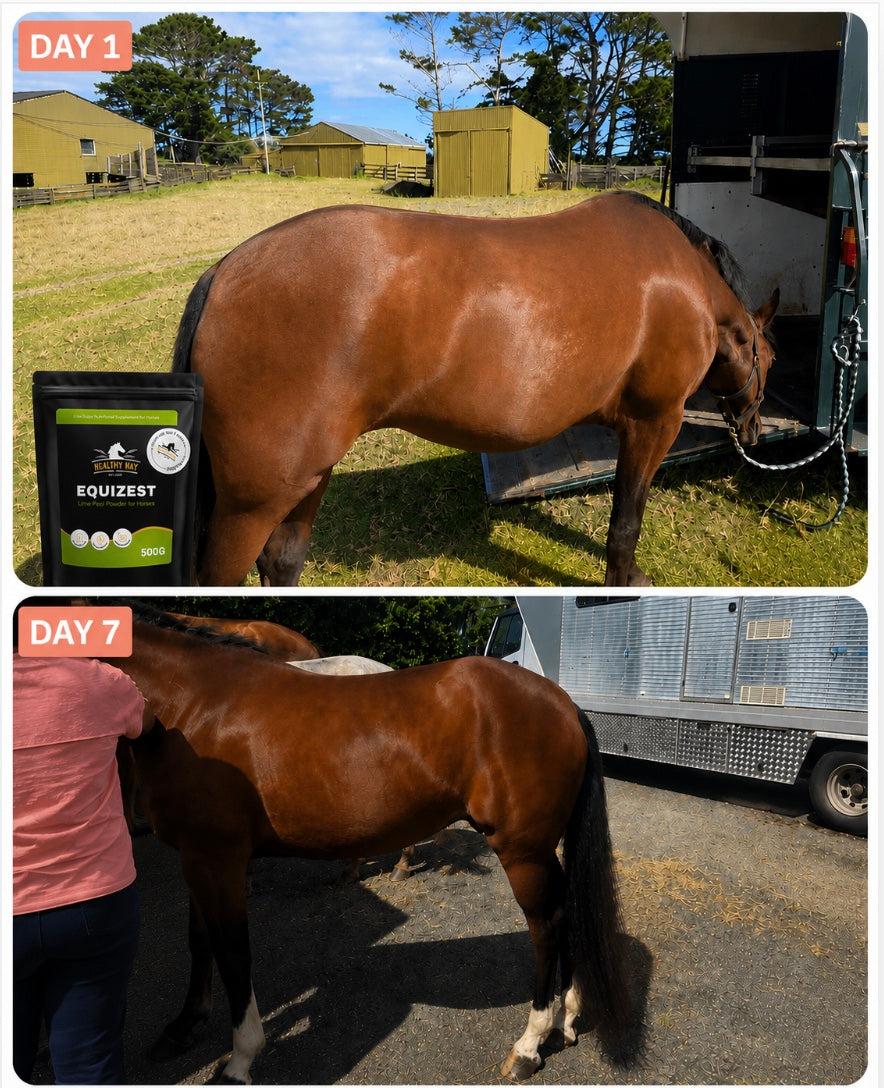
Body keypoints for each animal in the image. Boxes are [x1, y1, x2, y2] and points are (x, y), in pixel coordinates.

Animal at [105, 605, 634, 1083]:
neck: (195, 705)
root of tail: (563, 703)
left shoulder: (218, 861)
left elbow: (233, 955)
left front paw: (238, 1061)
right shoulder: (197, 858)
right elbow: (201, 943)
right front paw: (183, 1027)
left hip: (523, 853)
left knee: (547, 927)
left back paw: (529, 1045)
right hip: (541, 852)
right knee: (566, 912)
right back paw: (565, 1020)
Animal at [172, 189, 778, 588]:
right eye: (769, 360)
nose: (752, 431)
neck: (683, 282)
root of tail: (224, 271)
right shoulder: (654, 422)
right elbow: (626, 520)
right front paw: (626, 580)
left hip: (307, 475)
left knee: (282, 560)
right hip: (251, 503)